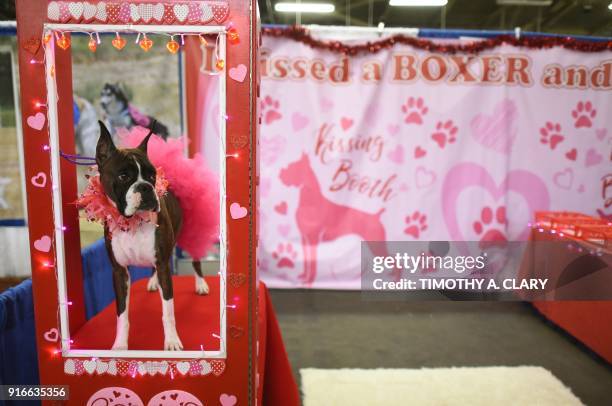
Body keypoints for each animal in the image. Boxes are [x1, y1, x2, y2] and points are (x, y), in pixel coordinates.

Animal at [95, 121, 208, 352]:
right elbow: (122, 314)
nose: (146, 187)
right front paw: (120, 345)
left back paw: (201, 283)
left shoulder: (164, 266)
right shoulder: (119, 272)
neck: (133, 221)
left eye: (151, 176)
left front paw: (172, 341)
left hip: (190, 234)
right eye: (123, 176)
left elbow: (168, 311)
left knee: (196, 257)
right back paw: (153, 282)